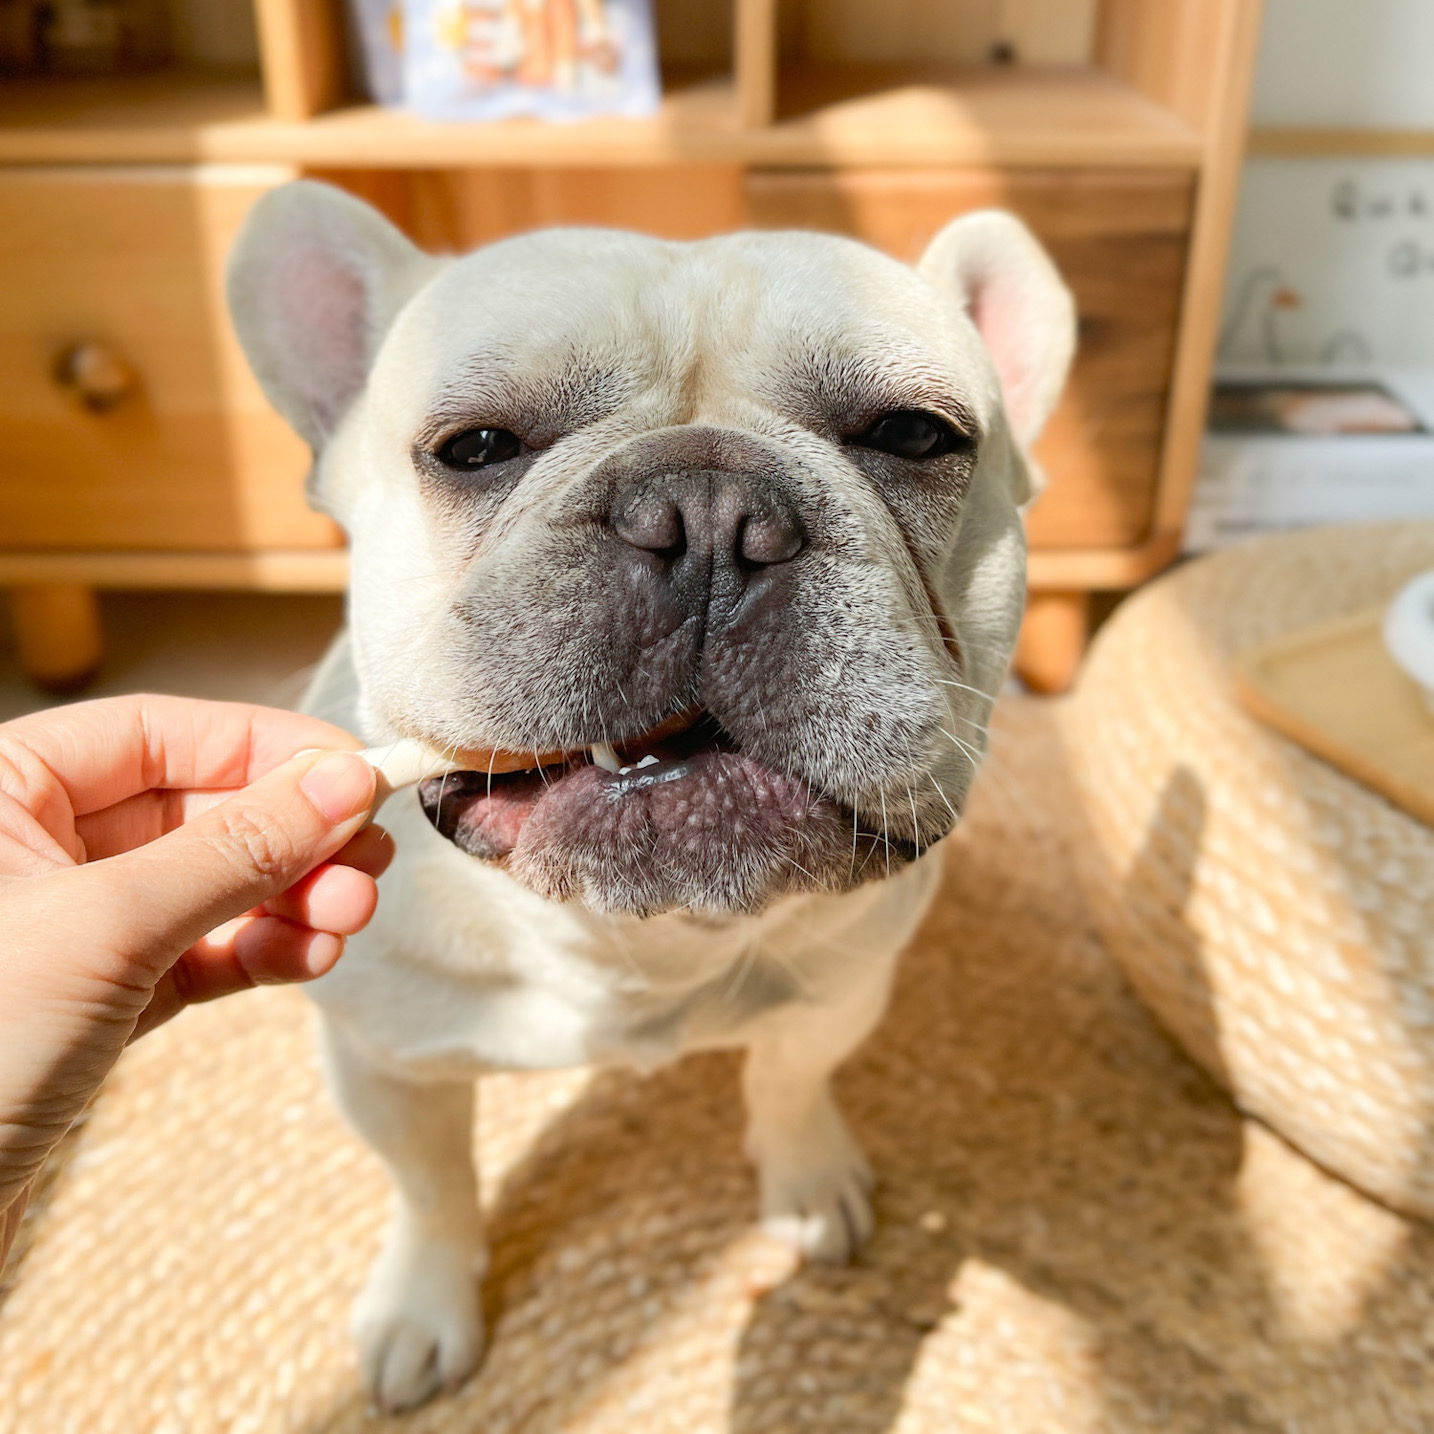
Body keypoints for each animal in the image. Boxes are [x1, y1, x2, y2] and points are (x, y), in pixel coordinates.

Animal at [226, 184, 1078, 1416]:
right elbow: (432, 1186)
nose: (709, 510)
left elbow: (791, 1080)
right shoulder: (385, 1066)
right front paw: (427, 1305)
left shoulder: (839, 995)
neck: (635, 943)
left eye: (915, 436)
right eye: (474, 447)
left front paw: (806, 1181)